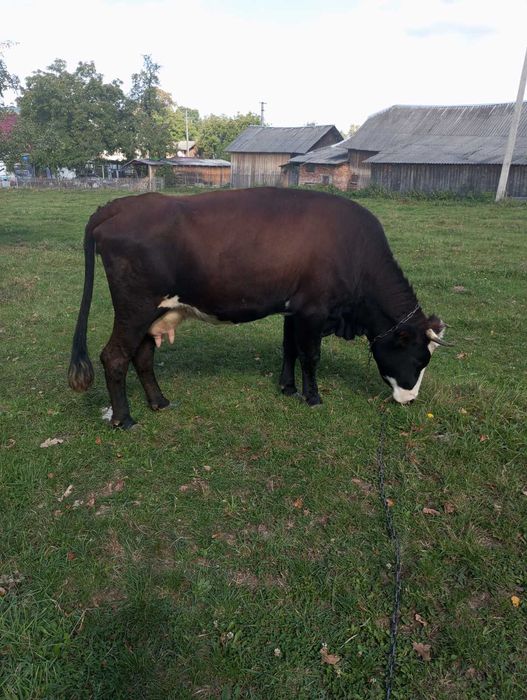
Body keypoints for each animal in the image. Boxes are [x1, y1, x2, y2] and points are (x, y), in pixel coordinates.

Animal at [68, 187, 449, 428]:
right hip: (135, 307)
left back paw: (159, 402)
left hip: (153, 312)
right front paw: (312, 397)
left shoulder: (294, 309)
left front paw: (287, 388)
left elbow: (289, 349)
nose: (411, 400)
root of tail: (122, 205)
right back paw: (124, 419)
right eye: (419, 358)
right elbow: (310, 356)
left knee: (143, 355)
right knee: (115, 356)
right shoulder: (313, 310)